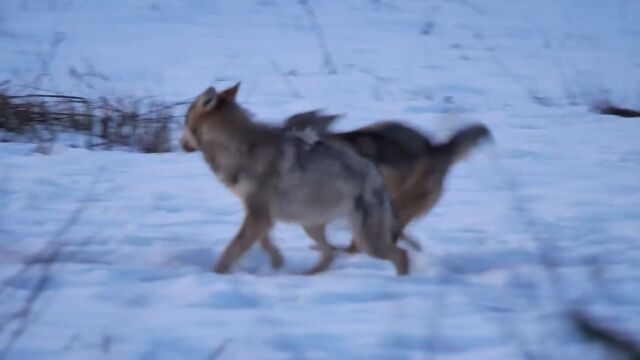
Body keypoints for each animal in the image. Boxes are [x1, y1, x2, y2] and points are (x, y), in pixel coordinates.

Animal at [180, 83, 410, 276]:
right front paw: (277, 262)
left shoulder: (259, 215)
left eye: (183, 119)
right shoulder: (261, 215)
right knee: (330, 255)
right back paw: (305, 276)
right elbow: (263, 241)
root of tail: (377, 176)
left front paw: (216, 274)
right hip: (310, 224)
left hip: (366, 242)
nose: (180, 143)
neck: (235, 146)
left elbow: (231, 250)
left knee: (401, 255)